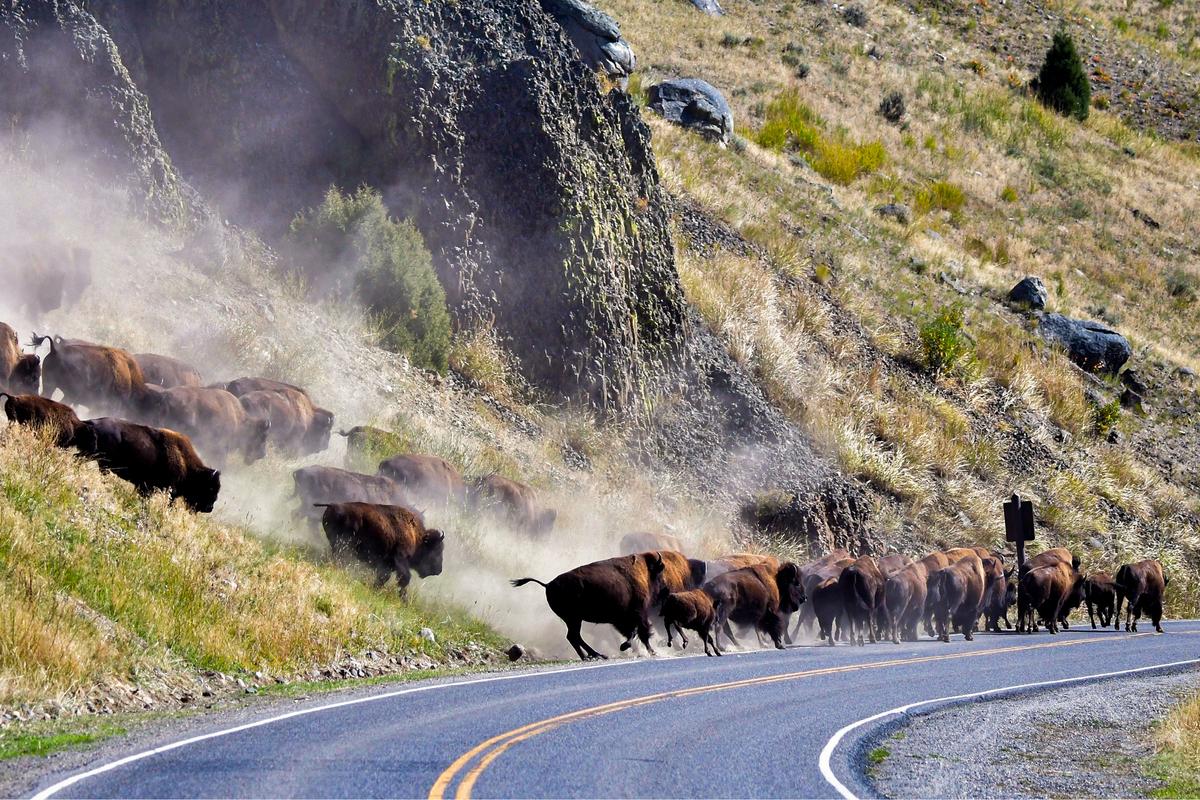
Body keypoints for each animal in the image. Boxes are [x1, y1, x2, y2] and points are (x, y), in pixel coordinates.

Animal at [74, 418, 221, 513]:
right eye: (210, 488)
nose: (210, 508)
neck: (185, 461)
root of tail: (92, 422)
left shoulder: (144, 487)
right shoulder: (164, 491)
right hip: (93, 456)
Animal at [512, 552, 669, 660]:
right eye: (658, 574)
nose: (665, 589)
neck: (644, 572)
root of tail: (548, 584)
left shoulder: (622, 619)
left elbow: (632, 632)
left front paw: (627, 646)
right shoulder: (638, 613)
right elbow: (642, 632)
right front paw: (651, 651)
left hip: (573, 620)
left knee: (574, 637)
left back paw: (594, 655)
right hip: (574, 619)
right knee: (573, 636)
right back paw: (592, 656)